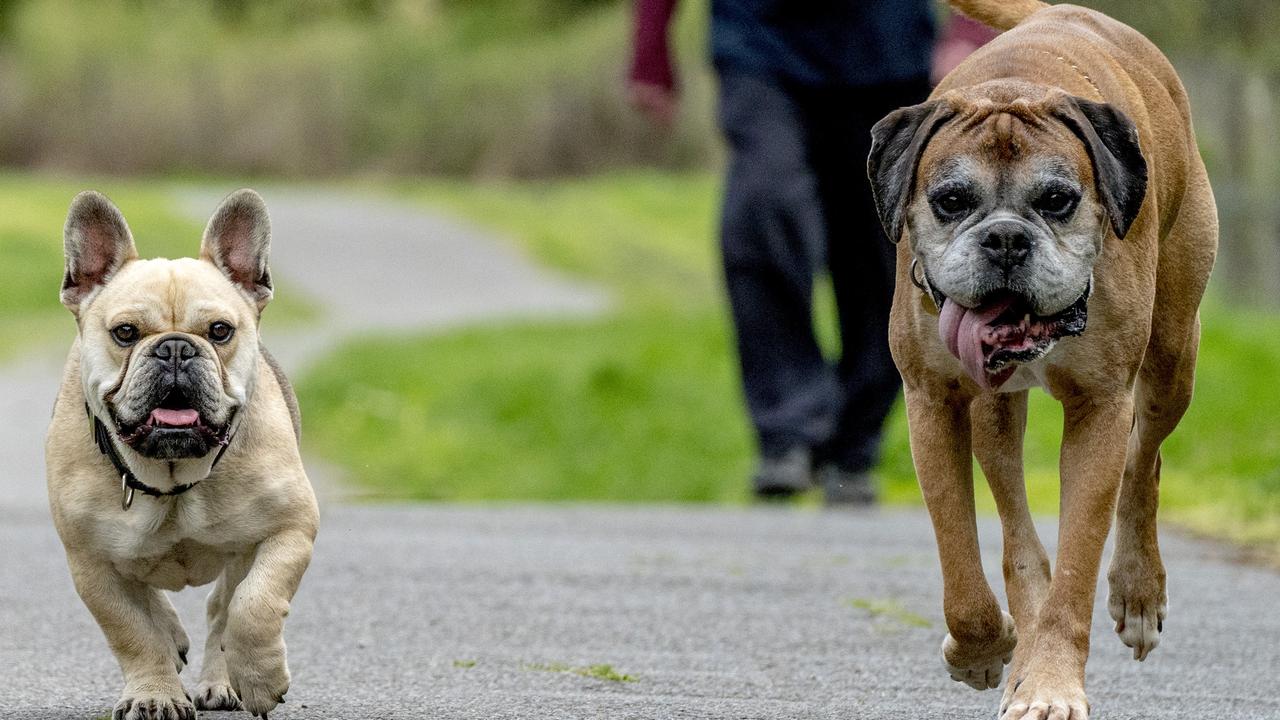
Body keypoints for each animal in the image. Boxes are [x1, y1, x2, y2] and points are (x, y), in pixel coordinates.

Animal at [870, 1, 1218, 717]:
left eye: (1057, 200)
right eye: (951, 201)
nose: (1006, 238)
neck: (1013, 87)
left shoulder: (1100, 410)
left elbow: (1078, 566)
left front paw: (1053, 683)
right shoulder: (933, 401)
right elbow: (961, 562)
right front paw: (984, 649)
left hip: (1174, 356)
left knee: (1144, 460)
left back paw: (1137, 591)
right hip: (993, 413)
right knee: (1017, 535)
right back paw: (1018, 648)